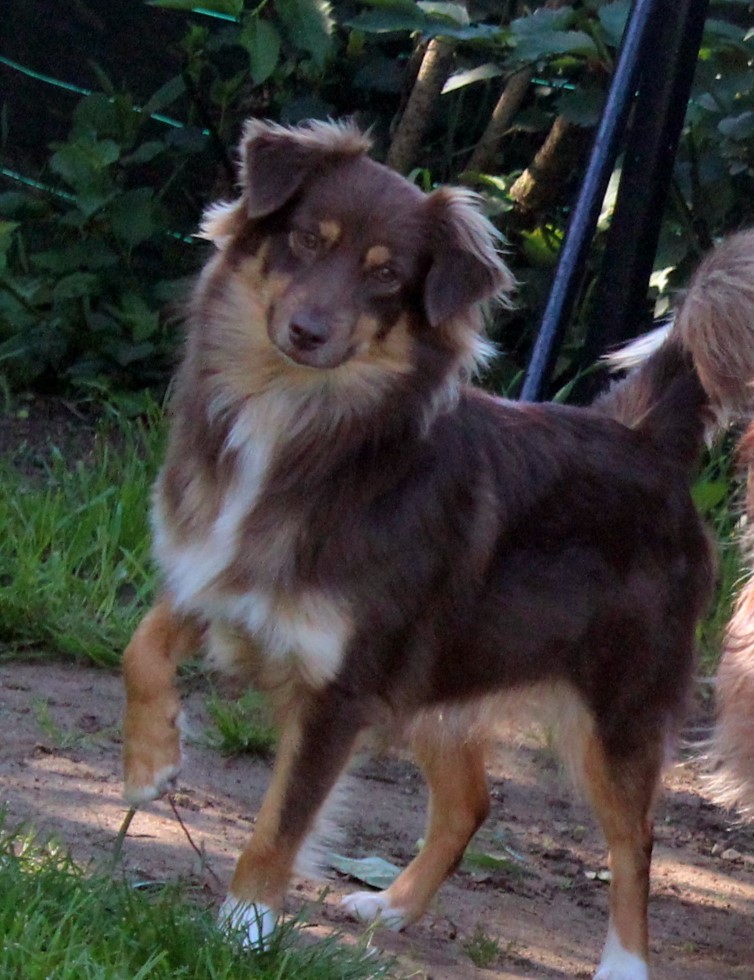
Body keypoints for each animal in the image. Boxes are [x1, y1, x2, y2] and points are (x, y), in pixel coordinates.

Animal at [120, 122, 752, 980]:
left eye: (385, 275)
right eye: (304, 240)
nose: (308, 332)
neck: (300, 427)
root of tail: (642, 438)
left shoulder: (341, 690)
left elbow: (280, 825)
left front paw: (242, 929)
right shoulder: (213, 578)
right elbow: (141, 647)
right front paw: (149, 761)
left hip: (613, 706)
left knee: (634, 842)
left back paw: (624, 961)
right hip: (437, 663)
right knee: (470, 801)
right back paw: (393, 905)